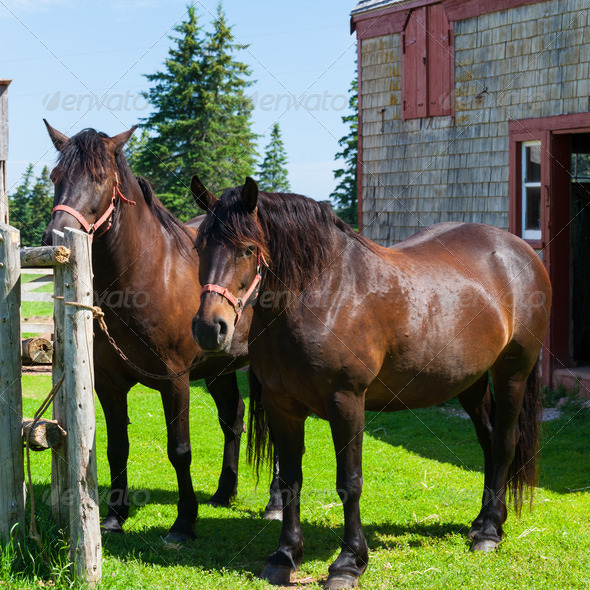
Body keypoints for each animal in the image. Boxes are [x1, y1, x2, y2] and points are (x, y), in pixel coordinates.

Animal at [40, 123, 284, 544]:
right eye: (56, 178)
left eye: (100, 178)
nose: (55, 237)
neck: (146, 276)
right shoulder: (109, 383)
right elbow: (116, 447)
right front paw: (115, 515)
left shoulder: (176, 380)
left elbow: (179, 450)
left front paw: (184, 522)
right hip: (218, 367)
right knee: (232, 417)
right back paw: (224, 491)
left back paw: (274, 503)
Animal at [192, 179, 552, 590]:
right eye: (200, 246)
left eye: (249, 248)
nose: (210, 328)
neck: (324, 293)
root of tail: (520, 251)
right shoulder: (283, 406)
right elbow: (290, 481)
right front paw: (285, 556)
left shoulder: (346, 402)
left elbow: (349, 482)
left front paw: (349, 562)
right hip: (470, 382)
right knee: (489, 442)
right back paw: (481, 523)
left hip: (512, 374)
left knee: (505, 443)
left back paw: (490, 532)